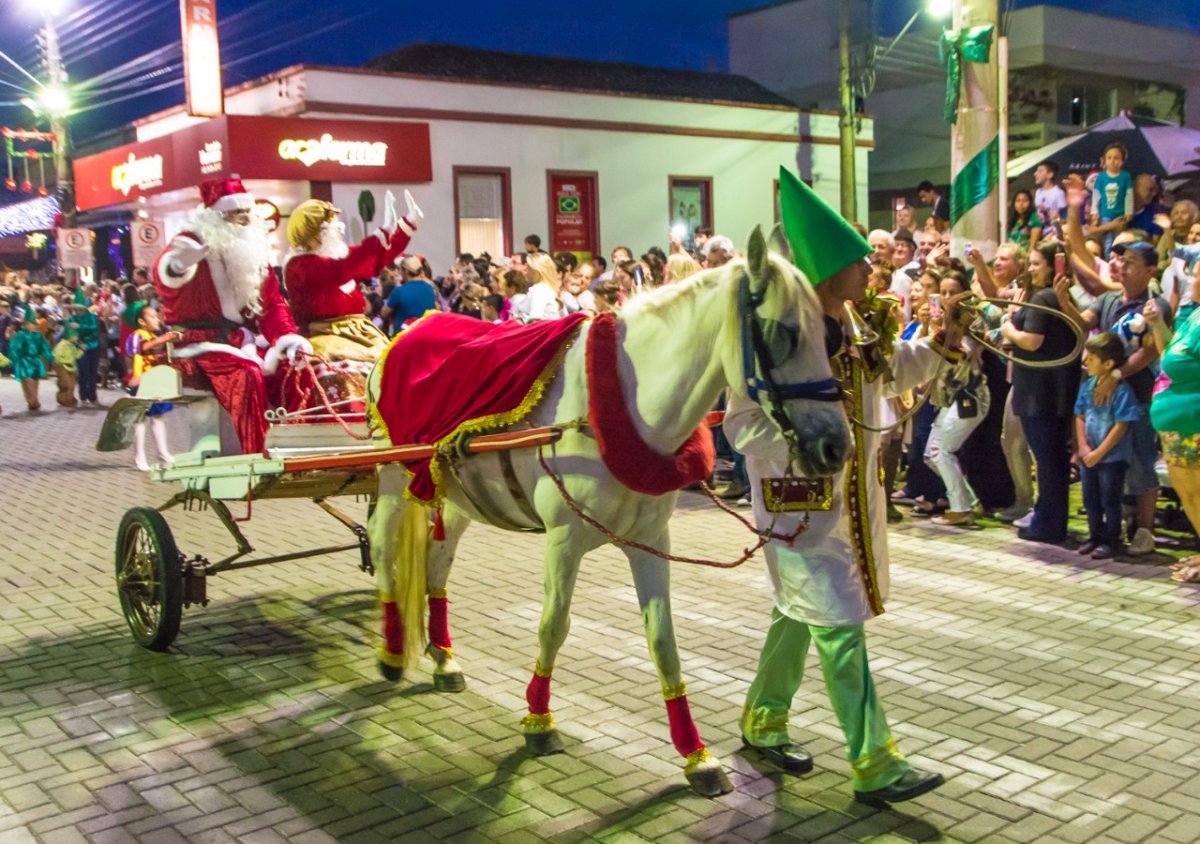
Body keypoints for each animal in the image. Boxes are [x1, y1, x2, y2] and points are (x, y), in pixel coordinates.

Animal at [362, 228, 844, 797]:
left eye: (828, 334)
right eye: (782, 333)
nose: (835, 447)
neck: (615, 406)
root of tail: (410, 328)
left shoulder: (652, 541)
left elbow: (663, 639)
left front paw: (696, 755)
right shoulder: (563, 539)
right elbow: (553, 624)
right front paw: (538, 721)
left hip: (456, 496)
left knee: (437, 563)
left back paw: (443, 657)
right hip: (395, 476)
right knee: (384, 547)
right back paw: (392, 653)